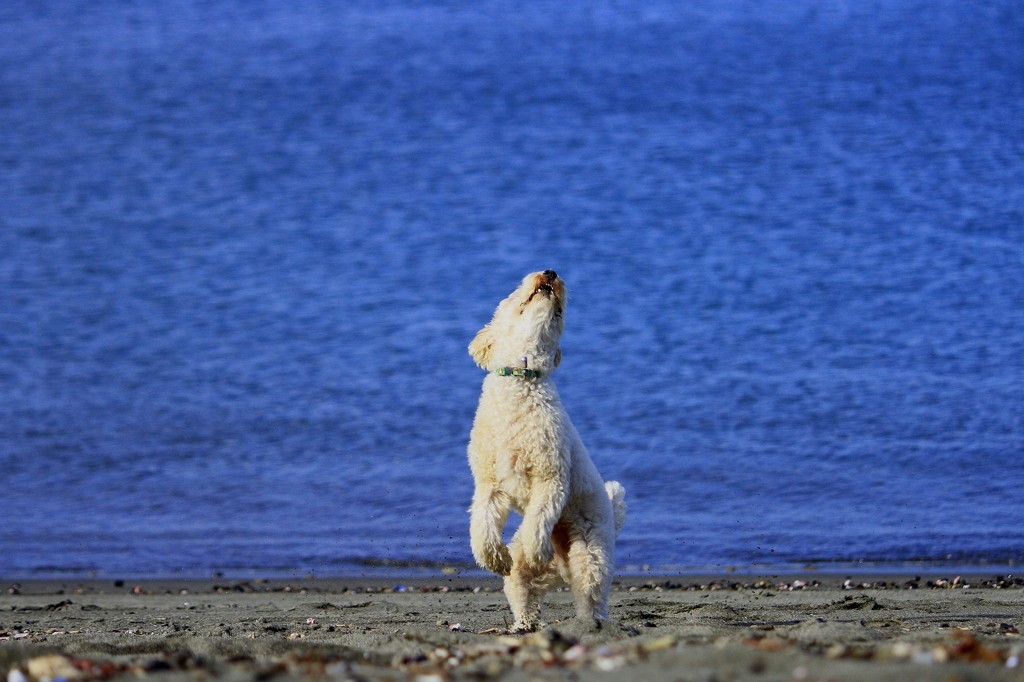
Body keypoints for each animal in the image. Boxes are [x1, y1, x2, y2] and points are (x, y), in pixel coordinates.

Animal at [466, 268, 622, 630]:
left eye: (560, 313)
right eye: (514, 294)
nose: (550, 272)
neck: (523, 376)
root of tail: (561, 569)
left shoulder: (551, 477)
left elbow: (538, 517)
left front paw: (539, 548)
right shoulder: (489, 484)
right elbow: (481, 525)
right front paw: (493, 557)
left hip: (590, 553)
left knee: (591, 599)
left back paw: (589, 623)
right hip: (521, 573)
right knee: (524, 591)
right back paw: (523, 625)